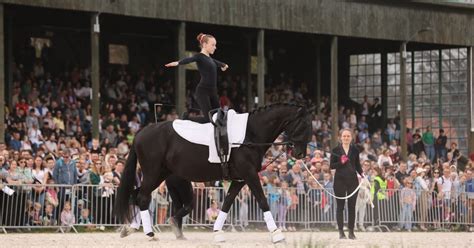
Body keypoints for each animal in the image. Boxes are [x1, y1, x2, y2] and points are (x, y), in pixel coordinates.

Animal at [114, 102, 312, 242]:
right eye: (303, 126)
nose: (300, 154)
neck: (250, 134)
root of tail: (141, 132)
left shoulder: (239, 179)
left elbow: (226, 204)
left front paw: (217, 232)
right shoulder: (249, 174)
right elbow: (262, 200)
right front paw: (277, 234)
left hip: (160, 174)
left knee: (136, 195)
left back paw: (130, 228)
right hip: (153, 172)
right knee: (142, 197)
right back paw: (149, 234)